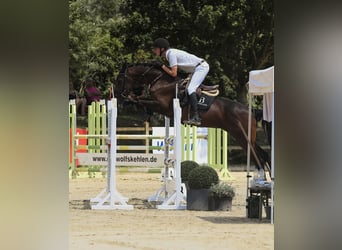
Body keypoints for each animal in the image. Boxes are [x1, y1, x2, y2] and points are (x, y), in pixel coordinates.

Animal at [114, 63, 270, 172]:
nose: (117, 95)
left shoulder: (162, 107)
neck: (162, 82)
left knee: (259, 160)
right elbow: (143, 102)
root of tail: (252, 111)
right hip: (246, 138)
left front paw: (130, 100)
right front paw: (142, 111)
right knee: (263, 156)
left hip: (243, 138)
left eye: (120, 79)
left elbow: (141, 101)